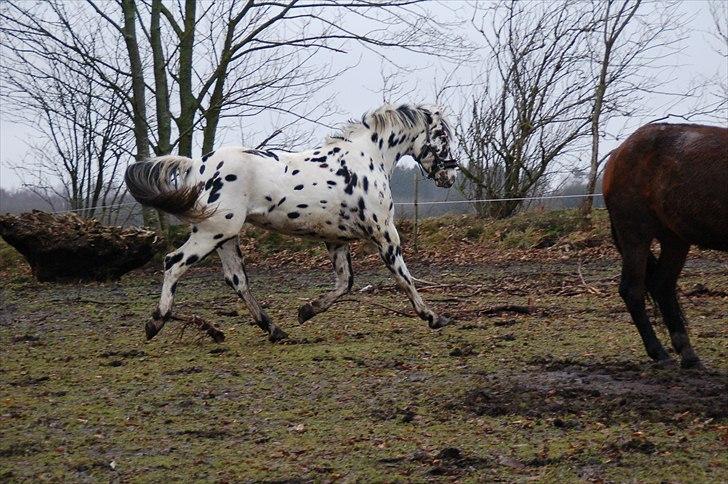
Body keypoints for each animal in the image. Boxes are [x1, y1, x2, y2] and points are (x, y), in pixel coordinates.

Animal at [124, 104, 456, 342]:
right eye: (443, 136)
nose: (450, 176)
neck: (367, 159)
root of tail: (197, 166)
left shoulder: (336, 239)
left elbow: (345, 283)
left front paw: (306, 311)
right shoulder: (385, 233)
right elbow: (404, 278)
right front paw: (433, 317)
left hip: (225, 235)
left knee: (236, 279)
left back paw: (273, 330)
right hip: (213, 232)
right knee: (174, 262)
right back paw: (156, 322)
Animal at [604, 123, 728, 368]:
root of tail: (618, 152)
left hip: (675, 240)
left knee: (662, 285)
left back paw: (687, 353)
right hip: (635, 235)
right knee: (633, 291)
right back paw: (659, 352)